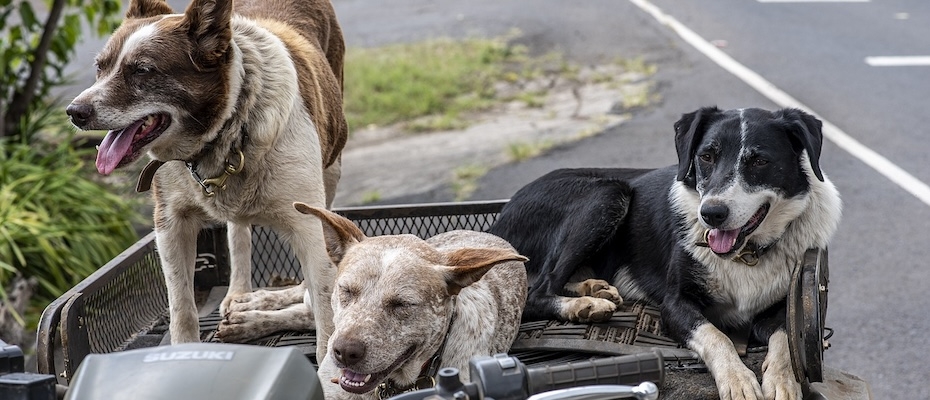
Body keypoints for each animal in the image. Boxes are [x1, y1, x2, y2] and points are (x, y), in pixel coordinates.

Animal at [66, 0, 348, 362]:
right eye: (100, 67)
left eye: (142, 70)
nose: (75, 112)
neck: (226, 130)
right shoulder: (171, 224)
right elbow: (182, 309)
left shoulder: (309, 227)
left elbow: (326, 317)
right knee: (238, 232)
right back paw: (241, 295)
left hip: (332, 170)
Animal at [490, 107, 844, 400]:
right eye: (706, 156)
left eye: (759, 161)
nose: (711, 214)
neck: (746, 254)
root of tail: (499, 220)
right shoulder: (674, 305)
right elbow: (716, 336)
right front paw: (738, 379)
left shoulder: (784, 306)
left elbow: (786, 339)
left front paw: (783, 381)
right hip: (608, 193)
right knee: (536, 292)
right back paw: (585, 306)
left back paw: (594, 289)